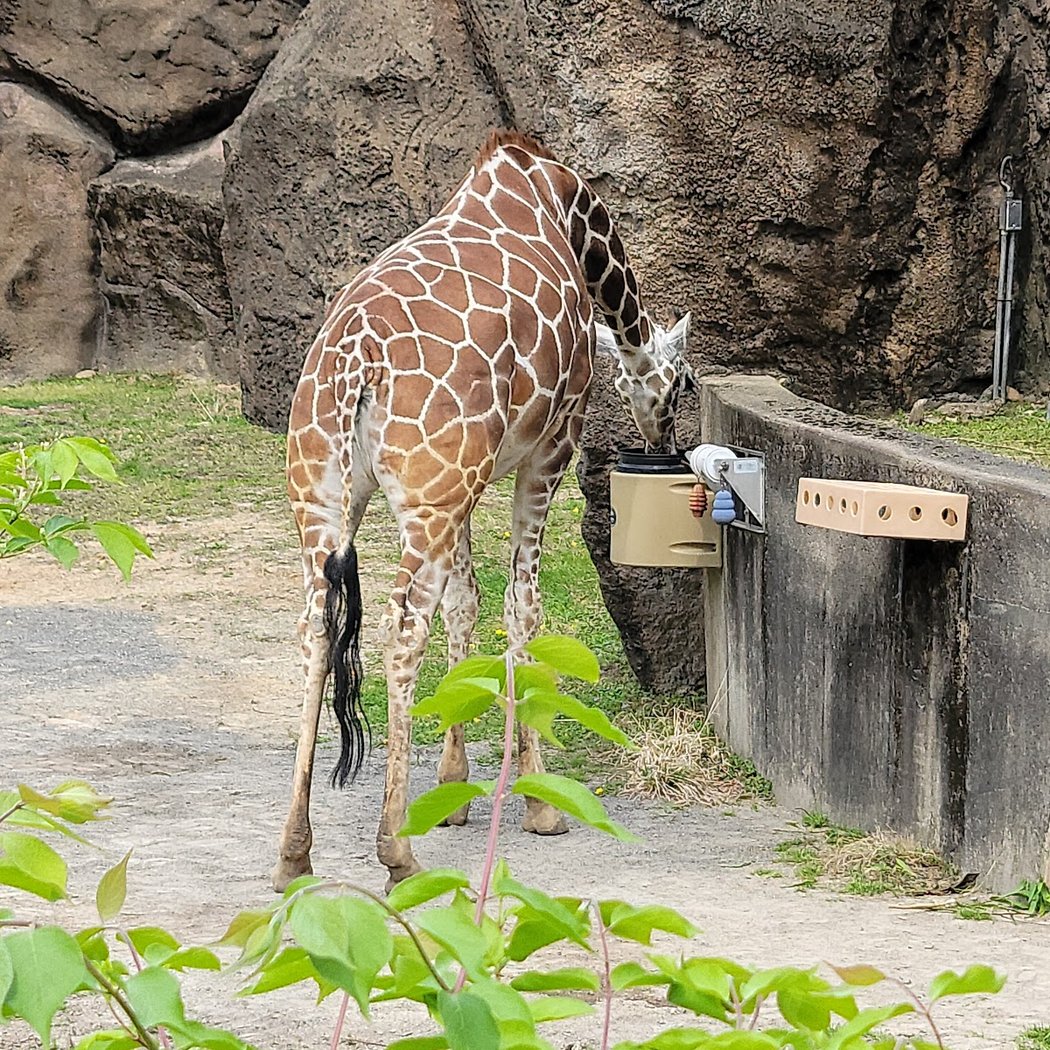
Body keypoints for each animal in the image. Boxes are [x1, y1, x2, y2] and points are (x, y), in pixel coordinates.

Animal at [274, 131, 694, 891]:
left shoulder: (461, 487)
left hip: (326, 492)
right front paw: (538, 800)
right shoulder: (549, 449)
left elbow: (465, 604)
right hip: (426, 491)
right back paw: (396, 852)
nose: (664, 441)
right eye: (682, 384)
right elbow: (521, 607)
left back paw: (294, 853)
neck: (569, 213)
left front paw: (453, 785)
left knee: (319, 627)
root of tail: (355, 363)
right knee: (401, 625)